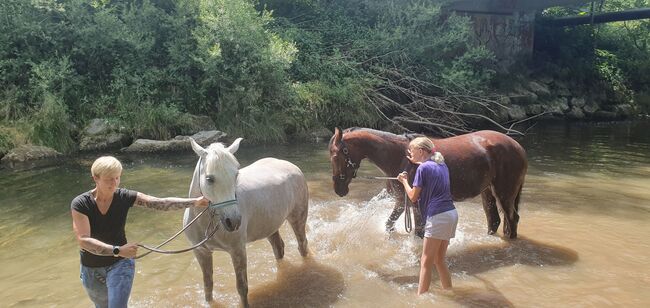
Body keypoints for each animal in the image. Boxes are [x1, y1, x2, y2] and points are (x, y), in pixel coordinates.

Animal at [182, 138, 308, 306]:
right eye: (209, 179)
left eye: (236, 175)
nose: (233, 221)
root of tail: (292, 166)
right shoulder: (201, 252)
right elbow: (208, 286)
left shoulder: (238, 250)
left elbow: (242, 287)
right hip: (269, 226)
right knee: (278, 248)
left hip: (298, 219)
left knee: (302, 245)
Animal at [330, 126, 528, 239]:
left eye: (336, 156)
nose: (339, 189)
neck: (402, 157)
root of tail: (518, 146)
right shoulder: (401, 201)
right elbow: (389, 225)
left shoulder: (416, 204)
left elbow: (419, 232)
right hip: (487, 192)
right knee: (494, 221)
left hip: (504, 194)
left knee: (512, 219)